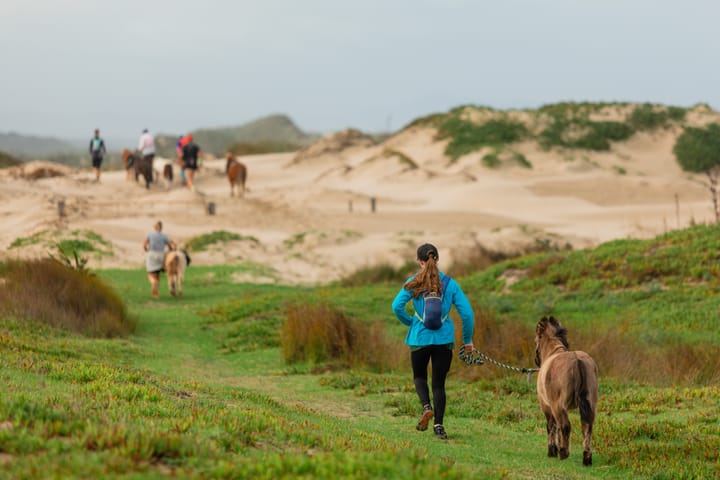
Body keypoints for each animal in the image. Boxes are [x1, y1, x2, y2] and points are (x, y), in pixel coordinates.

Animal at [535, 316, 598, 466]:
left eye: (536, 340)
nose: (536, 360)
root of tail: (577, 360)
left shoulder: (546, 406)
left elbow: (551, 426)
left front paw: (552, 450)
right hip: (590, 404)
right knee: (587, 426)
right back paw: (587, 458)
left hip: (558, 406)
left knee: (565, 426)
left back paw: (563, 452)